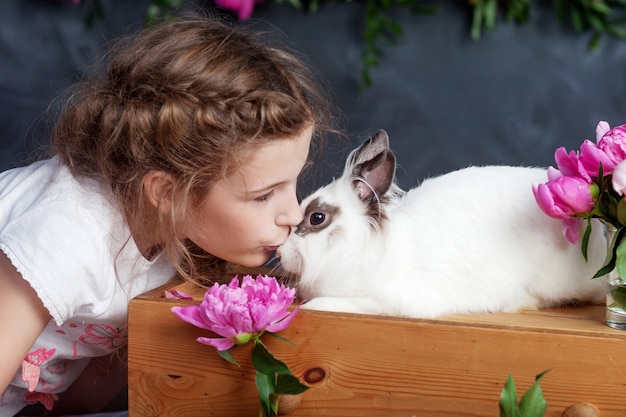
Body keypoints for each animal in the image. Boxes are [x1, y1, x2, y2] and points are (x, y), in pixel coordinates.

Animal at [276, 128, 604, 316]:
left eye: (317, 217)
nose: (280, 251)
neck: (357, 246)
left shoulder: (384, 300)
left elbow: (332, 304)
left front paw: (313, 306)